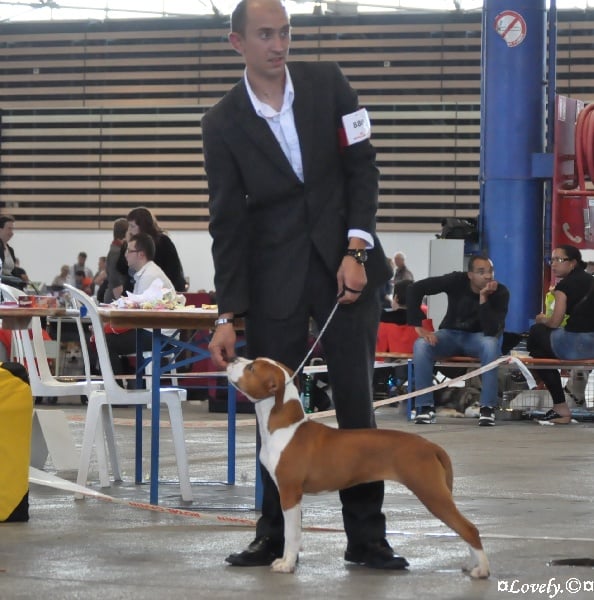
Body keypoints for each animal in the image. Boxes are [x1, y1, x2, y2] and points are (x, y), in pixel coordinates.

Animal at [227, 356, 490, 578]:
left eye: (252, 368)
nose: (232, 359)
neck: (284, 426)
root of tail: (431, 445)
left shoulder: (290, 492)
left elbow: (291, 533)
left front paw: (287, 564)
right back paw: (472, 564)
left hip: (431, 492)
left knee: (469, 528)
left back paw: (481, 570)